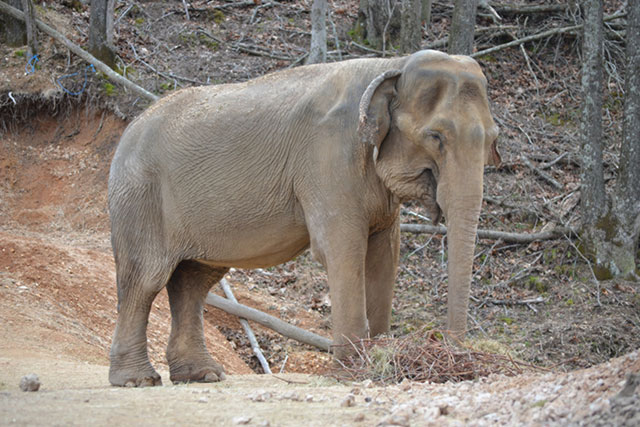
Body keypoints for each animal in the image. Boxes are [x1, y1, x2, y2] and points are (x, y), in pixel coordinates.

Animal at [107, 50, 500, 388]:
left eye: (493, 140)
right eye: (436, 137)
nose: (456, 357)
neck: (391, 65)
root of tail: (128, 131)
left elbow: (384, 257)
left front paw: (380, 358)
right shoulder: (328, 158)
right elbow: (342, 250)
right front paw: (354, 370)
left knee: (193, 281)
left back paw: (202, 375)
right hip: (139, 197)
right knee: (146, 278)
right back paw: (137, 380)